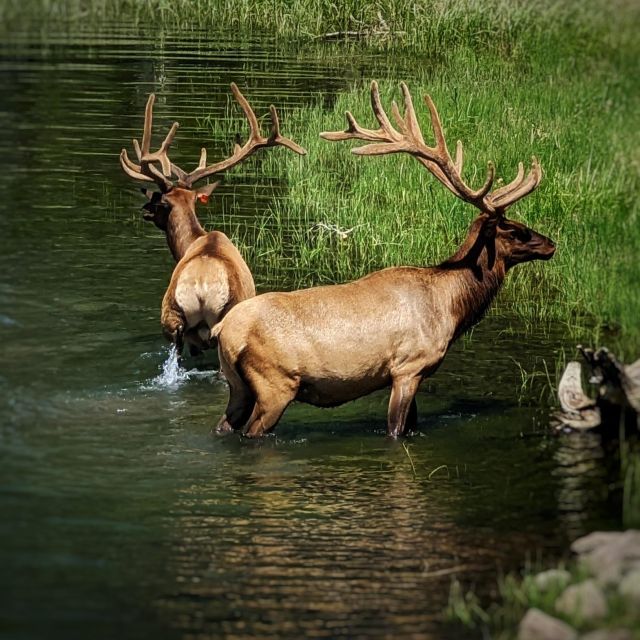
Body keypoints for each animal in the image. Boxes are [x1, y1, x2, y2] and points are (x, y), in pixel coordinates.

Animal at [211, 80, 556, 438]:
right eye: (515, 230)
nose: (551, 245)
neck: (451, 306)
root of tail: (223, 330)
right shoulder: (408, 366)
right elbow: (395, 428)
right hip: (275, 384)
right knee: (252, 431)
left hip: (238, 386)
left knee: (223, 425)